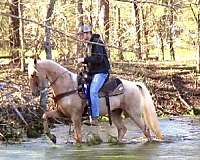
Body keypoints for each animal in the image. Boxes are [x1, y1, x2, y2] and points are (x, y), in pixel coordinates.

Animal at [27, 59, 163, 144]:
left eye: (33, 74)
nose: (34, 93)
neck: (67, 85)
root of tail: (134, 84)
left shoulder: (76, 117)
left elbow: (78, 137)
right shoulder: (62, 113)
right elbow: (45, 116)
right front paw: (52, 138)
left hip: (134, 113)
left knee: (145, 129)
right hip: (115, 112)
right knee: (122, 129)